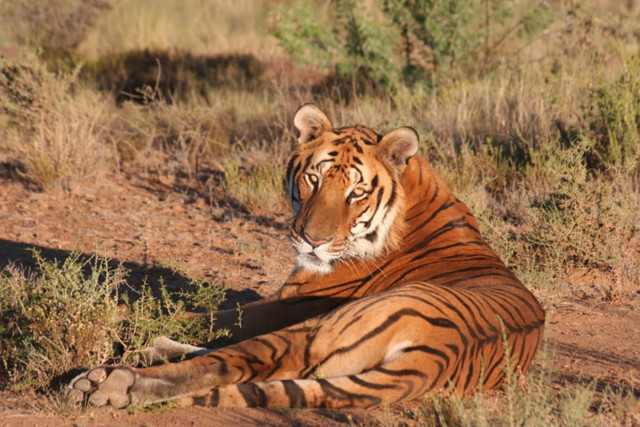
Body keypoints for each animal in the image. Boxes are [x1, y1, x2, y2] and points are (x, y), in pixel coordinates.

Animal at [69, 103, 544, 412]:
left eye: (356, 192)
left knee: (229, 363)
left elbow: (200, 316)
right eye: (314, 178)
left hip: (318, 329)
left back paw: (106, 382)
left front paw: (118, 318)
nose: (312, 241)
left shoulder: (290, 302)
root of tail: (434, 357)